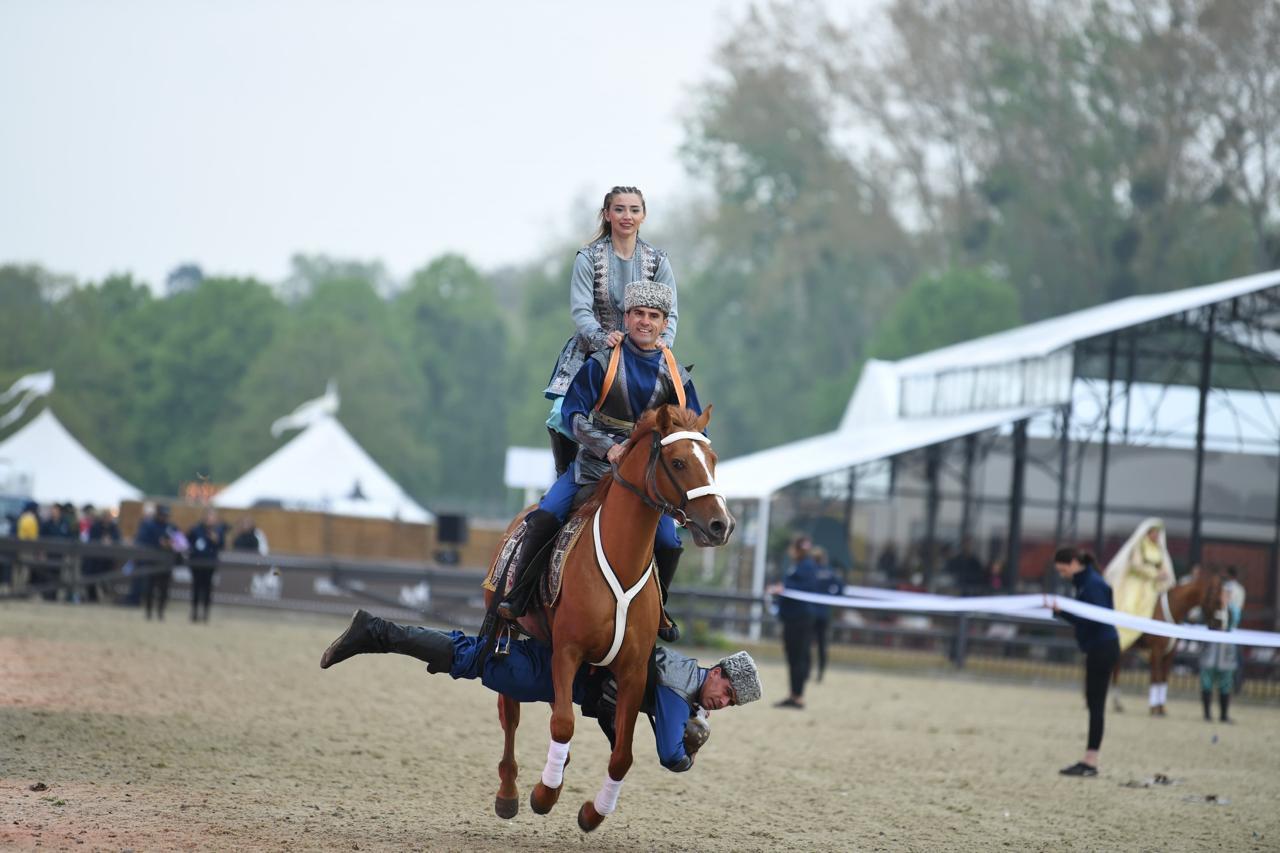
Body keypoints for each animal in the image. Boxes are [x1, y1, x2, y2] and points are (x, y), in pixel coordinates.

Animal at [481, 404, 732, 829]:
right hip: (505, 625)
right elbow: (563, 723)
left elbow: (622, 754)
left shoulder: (632, 669)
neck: (622, 558)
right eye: (678, 462)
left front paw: (592, 812)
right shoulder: (567, 651)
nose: (721, 524)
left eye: (712, 460)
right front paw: (544, 794)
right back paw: (509, 792)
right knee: (510, 714)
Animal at [1116, 568, 1223, 712]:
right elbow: (1156, 677)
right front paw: (1154, 708)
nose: (1219, 625)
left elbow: (1164, 678)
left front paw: (1161, 708)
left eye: (1224, 598)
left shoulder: (1170, 653)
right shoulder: (1157, 651)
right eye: (1216, 600)